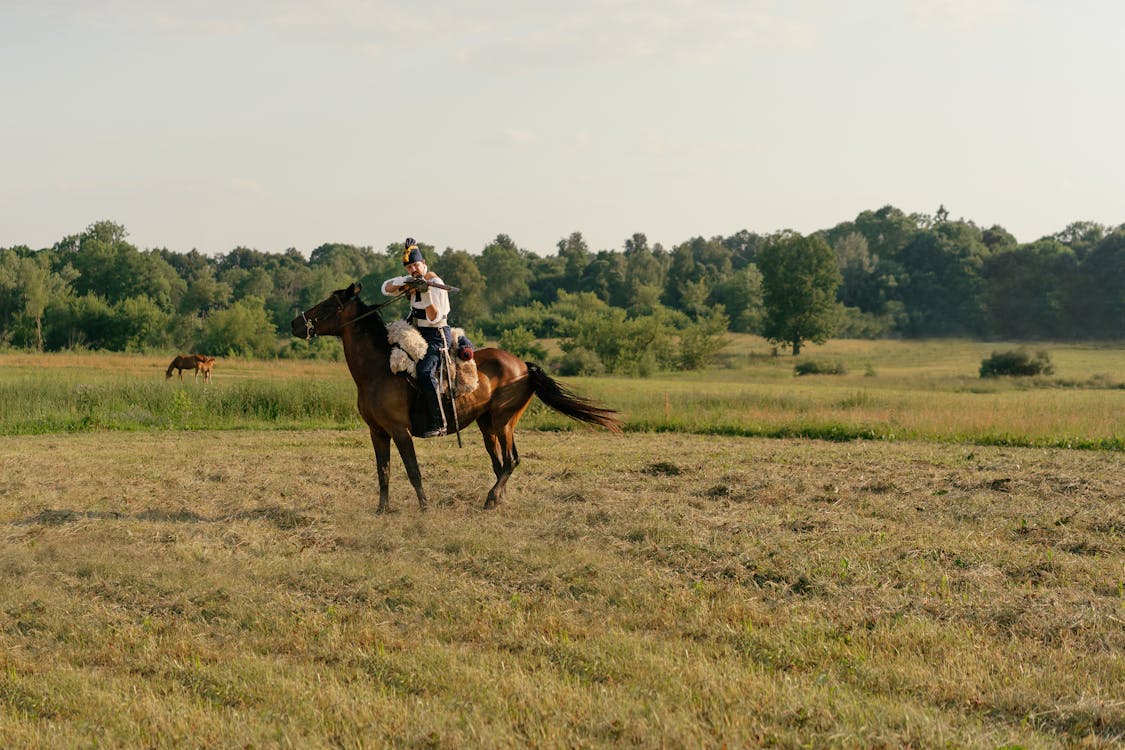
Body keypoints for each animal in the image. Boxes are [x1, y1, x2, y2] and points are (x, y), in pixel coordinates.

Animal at [290, 284, 625, 512]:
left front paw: (424, 508)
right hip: (487, 425)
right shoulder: (378, 432)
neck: (379, 369)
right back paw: (497, 500)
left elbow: (412, 470)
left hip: (504, 422)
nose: (295, 323)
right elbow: (383, 472)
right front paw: (381, 510)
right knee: (500, 464)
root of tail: (523, 367)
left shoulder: (400, 431)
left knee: (511, 461)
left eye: (327, 305)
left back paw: (491, 498)